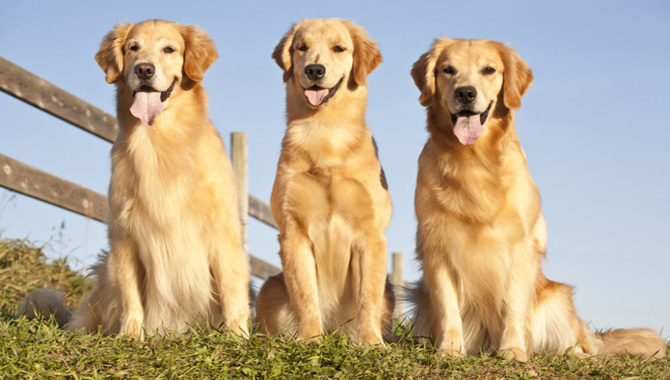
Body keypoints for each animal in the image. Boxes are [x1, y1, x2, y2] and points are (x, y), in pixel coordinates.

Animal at [21, 19, 253, 336]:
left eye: (169, 49)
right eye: (133, 47)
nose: (144, 69)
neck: (160, 139)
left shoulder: (223, 232)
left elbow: (232, 291)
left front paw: (237, 336)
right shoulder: (124, 234)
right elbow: (130, 295)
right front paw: (130, 336)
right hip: (103, 273)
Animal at [256, 17, 394, 344]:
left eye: (339, 48)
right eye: (301, 47)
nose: (314, 70)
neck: (324, 131)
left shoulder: (371, 234)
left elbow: (368, 297)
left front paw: (371, 343)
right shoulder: (293, 232)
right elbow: (305, 295)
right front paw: (310, 340)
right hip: (268, 288)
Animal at [410, 37, 668, 360]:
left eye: (488, 69)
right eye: (448, 70)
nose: (466, 92)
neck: (473, 161)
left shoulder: (520, 246)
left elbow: (514, 305)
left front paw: (512, 350)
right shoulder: (437, 246)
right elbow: (448, 307)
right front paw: (450, 350)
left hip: (557, 297)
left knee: (584, 345)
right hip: (420, 297)